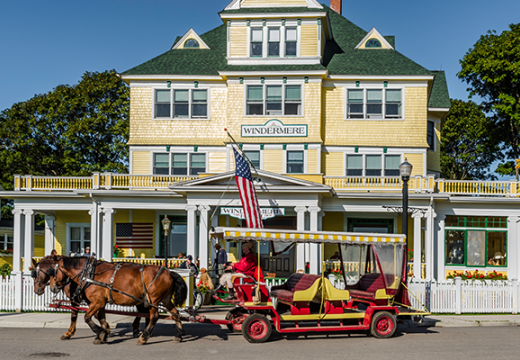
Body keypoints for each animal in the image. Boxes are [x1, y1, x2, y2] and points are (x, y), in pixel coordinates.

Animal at [50, 256, 188, 346]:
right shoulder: (100, 303)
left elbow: (87, 318)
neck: (89, 274)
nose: (52, 287)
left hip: (153, 300)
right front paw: (103, 335)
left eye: (52, 272)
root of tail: (169, 272)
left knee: (154, 316)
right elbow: (102, 319)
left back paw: (143, 337)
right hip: (165, 299)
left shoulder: (97, 302)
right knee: (175, 313)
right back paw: (179, 335)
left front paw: (100, 333)